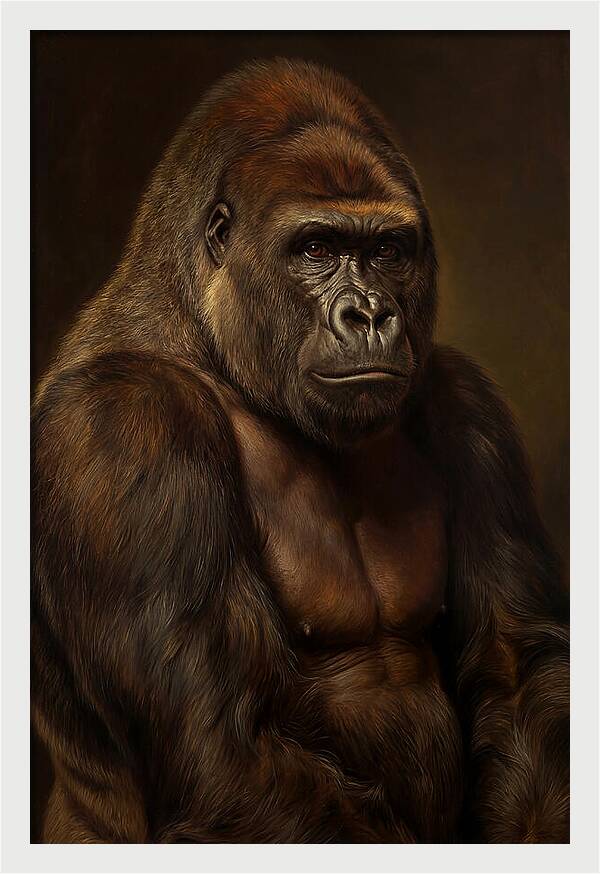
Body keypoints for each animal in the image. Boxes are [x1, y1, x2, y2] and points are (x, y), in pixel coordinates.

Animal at [32, 58, 569, 843]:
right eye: (316, 248)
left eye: (386, 251)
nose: (370, 314)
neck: (210, 340)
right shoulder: (125, 426)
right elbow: (220, 750)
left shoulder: (468, 405)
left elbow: (517, 667)